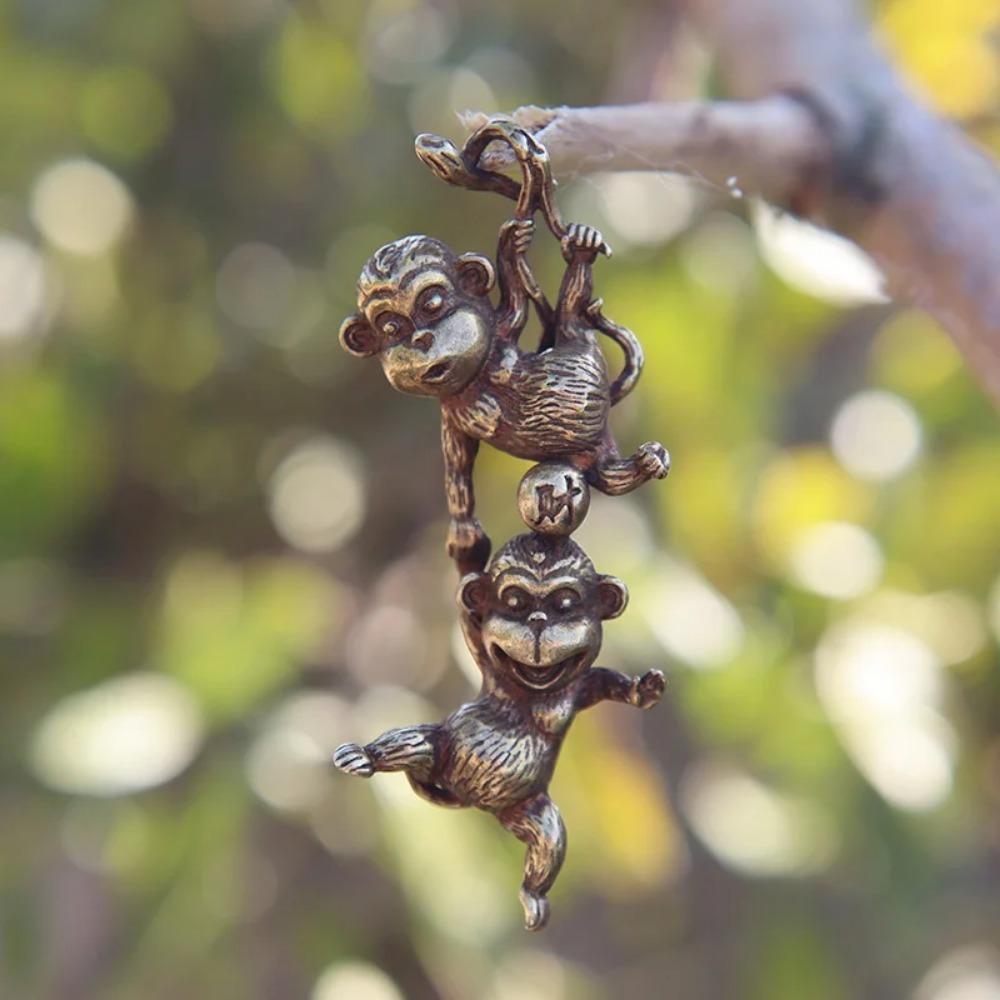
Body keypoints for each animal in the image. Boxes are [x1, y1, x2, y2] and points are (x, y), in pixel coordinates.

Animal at [333, 532, 665, 930]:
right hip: (442, 750)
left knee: (550, 841)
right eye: (515, 603)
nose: (538, 620)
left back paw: (533, 896)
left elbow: (603, 681)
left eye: (565, 604)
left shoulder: (581, 686)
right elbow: (469, 617)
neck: (534, 692)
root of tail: (470, 799)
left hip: (526, 810)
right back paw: (363, 756)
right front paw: (464, 539)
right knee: (414, 742)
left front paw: (642, 691)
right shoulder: (484, 652)